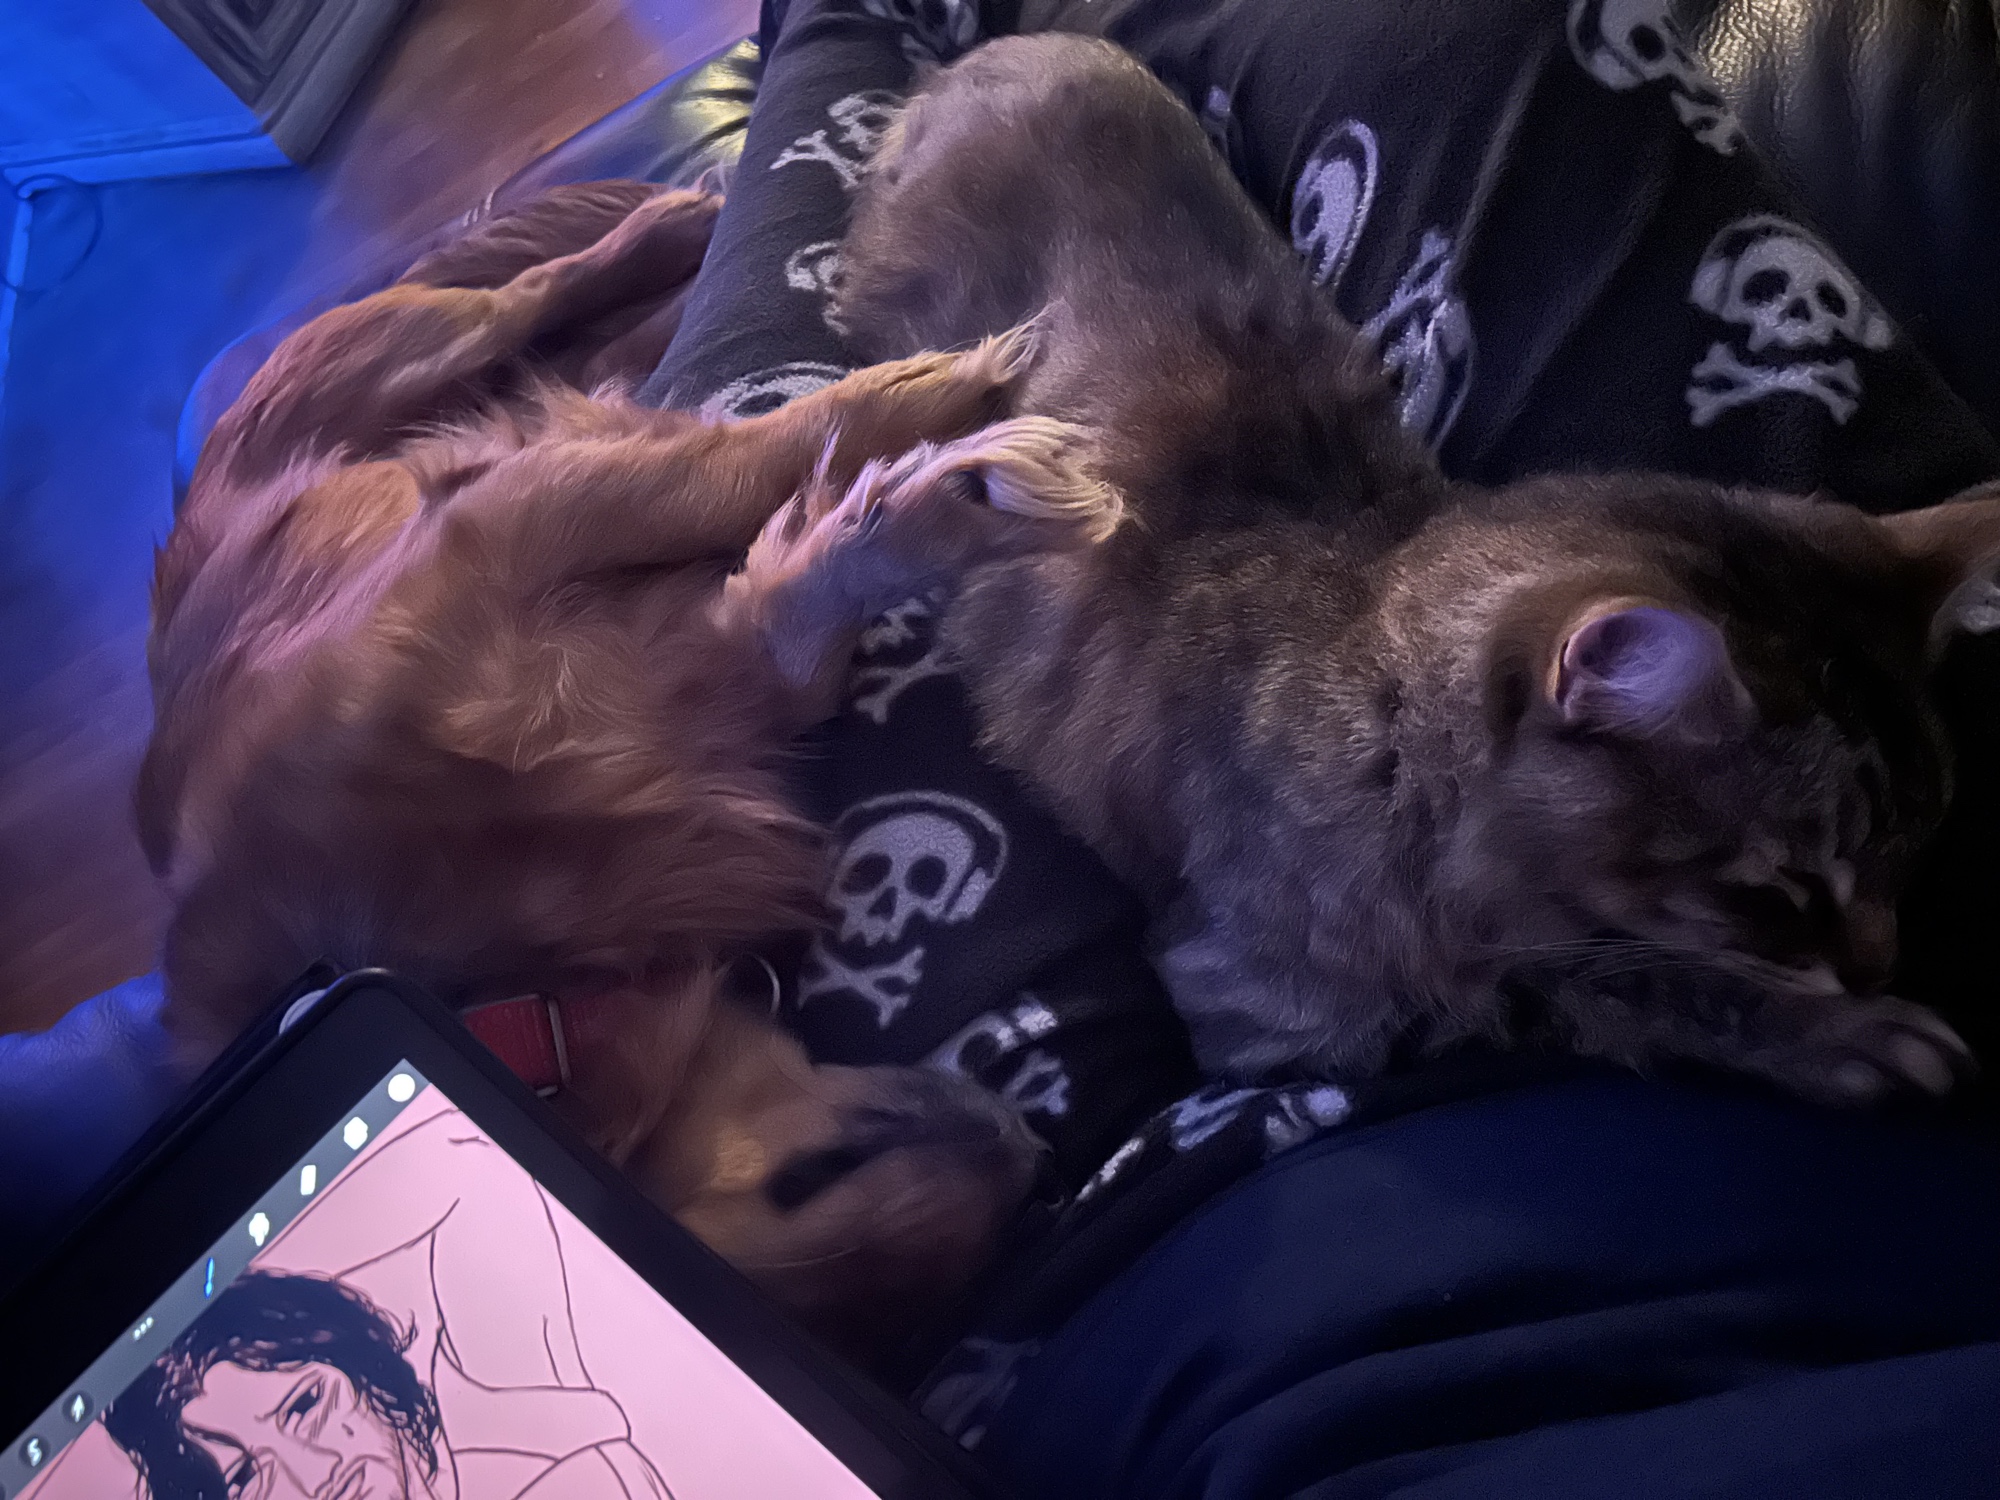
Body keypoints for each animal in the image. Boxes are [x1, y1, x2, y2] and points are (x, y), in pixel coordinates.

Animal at [137, 180, 1122, 1360]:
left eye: (808, 1178)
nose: (1036, 1156)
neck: (517, 979)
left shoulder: (507, 523)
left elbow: (725, 473)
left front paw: (928, 428)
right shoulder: (705, 673)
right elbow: (793, 594)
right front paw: (921, 504)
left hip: (391, 356)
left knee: (528, 293)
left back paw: (669, 231)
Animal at [833, 34, 2000, 1104]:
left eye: (1912, 852)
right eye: (1784, 886)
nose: (1880, 966)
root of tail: (978, 58)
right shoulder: (1273, 1003)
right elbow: (1611, 985)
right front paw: (1834, 1034)